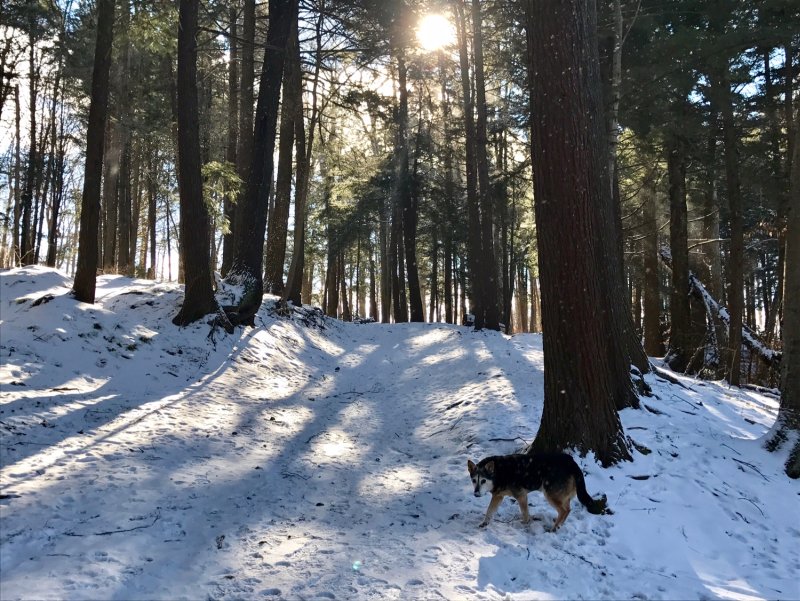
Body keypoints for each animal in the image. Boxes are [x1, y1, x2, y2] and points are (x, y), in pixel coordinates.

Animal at [466, 450, 608, 528]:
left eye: (483, 480)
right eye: (474, 480)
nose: (476, 494)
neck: (499, 472)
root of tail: (572, 463)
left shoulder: (521, 495)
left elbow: (525, 513)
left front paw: (525, 523)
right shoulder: (498, 496)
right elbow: (489, 511)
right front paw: (484, 523)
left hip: (550, 494)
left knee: (564, 510)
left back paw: (554, 528)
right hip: (562, 495)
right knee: (567, 509)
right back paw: (559, 524)